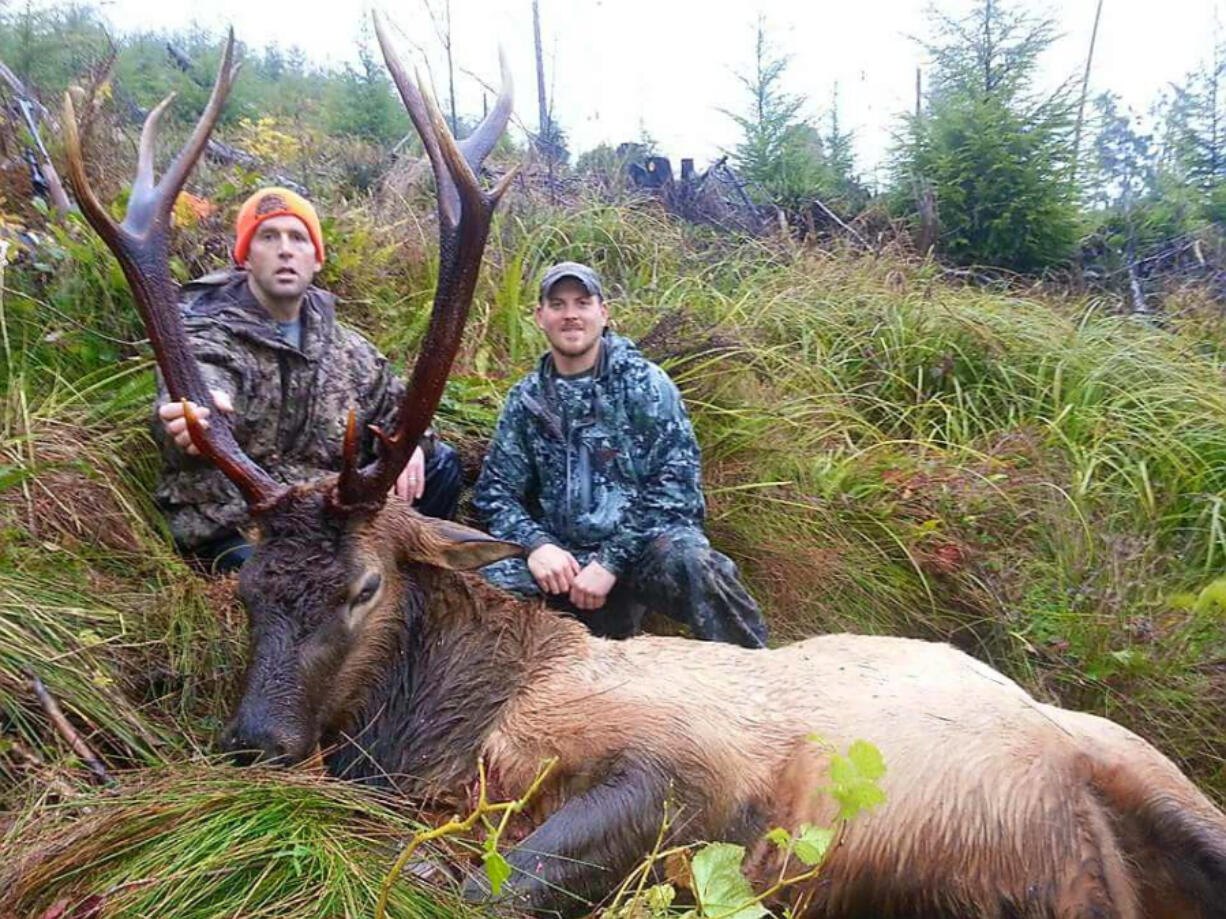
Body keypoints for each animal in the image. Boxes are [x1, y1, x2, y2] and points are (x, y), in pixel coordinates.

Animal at [59, 16, 1226, 919]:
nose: (256, 742)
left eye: (363, 585)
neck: (457, 727)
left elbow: (478, 885)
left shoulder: (686, 765)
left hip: (1152, 770)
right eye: (248, 581)